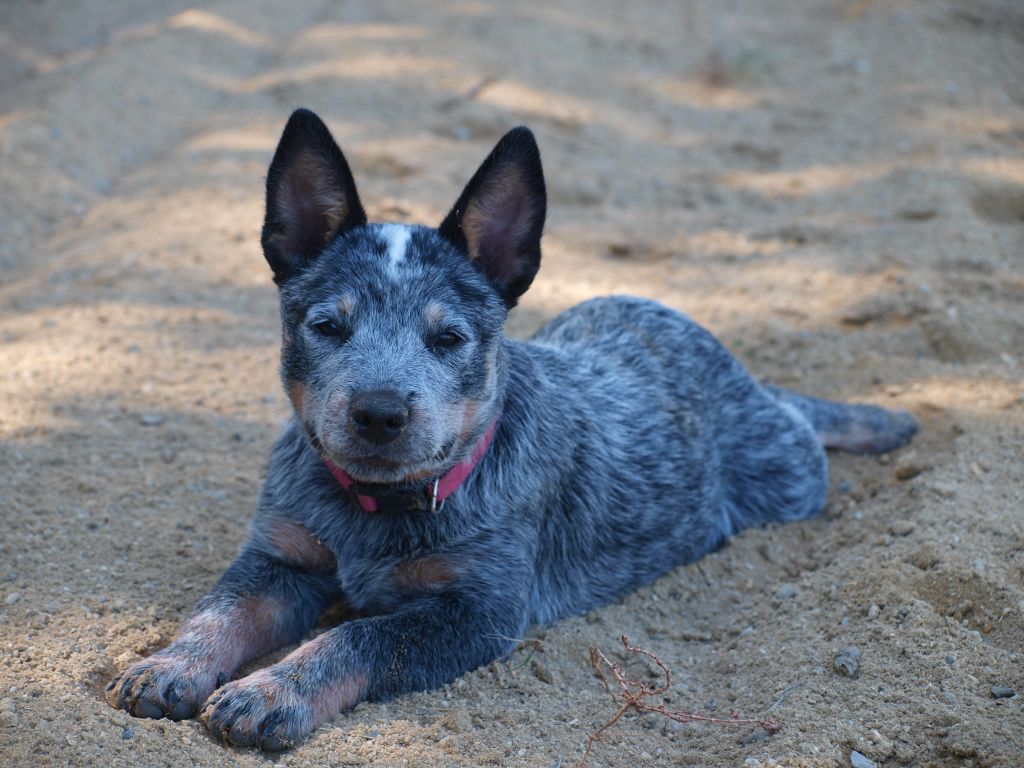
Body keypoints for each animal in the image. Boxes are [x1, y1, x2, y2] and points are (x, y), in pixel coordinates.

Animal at [105, 108, 921, 753]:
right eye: (329, 326)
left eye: (448, 338)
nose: (379, 412)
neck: (376, 509)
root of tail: (716, 348)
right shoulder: (280, 554)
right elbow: (220, 610)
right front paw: (170, 665)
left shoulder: (479, 611)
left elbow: (358, 635)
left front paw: (271, 690)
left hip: (789, 475)